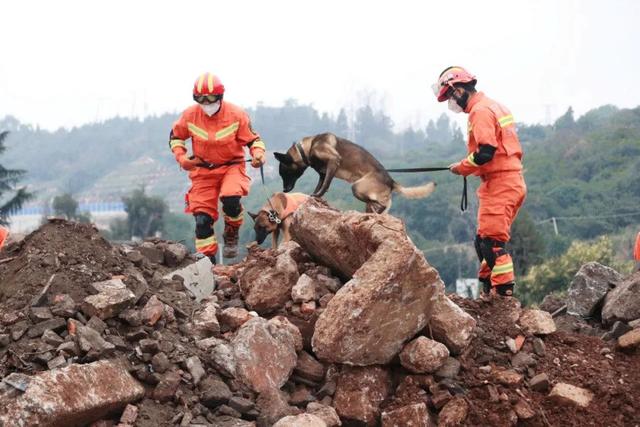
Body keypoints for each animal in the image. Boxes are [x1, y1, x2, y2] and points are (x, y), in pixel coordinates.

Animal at [272, 133, 438, 213]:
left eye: (284, 173)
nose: (284, 190)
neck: (308, 147)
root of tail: (391, 181)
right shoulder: (323, 173)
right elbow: (320, 185)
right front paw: (313, 196)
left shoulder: (333, 161)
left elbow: (324, 186)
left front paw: (317, 196)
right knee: (377, 205)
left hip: (357, 187)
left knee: (377, 204)